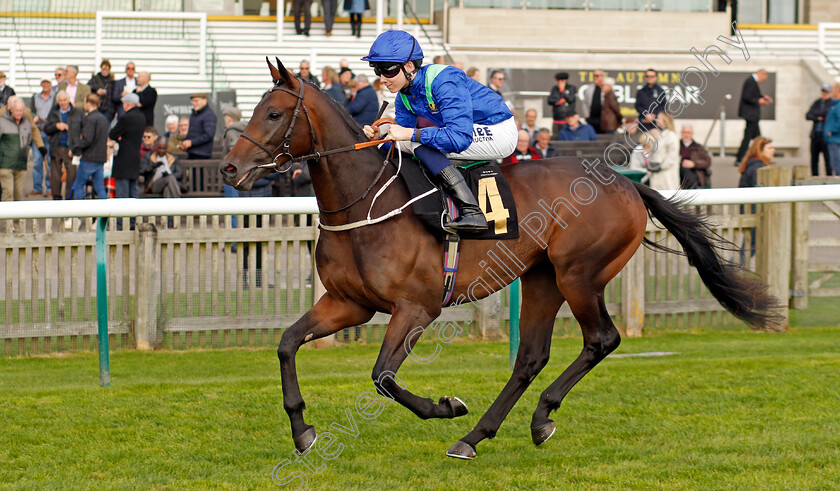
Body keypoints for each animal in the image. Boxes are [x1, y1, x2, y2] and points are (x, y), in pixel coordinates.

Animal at [218, 58, 780, 462]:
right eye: (253, 109)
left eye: (273, 114)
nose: (229, 168)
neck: (365, 202)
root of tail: (626, 184)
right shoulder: (347, 303)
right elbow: (287, 345)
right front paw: (303, 432)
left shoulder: (417, 307)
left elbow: (383, 377)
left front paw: (445, 406)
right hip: (541, 278)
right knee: (530, 356)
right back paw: (476, 436)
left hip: (579, 275)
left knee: (601, 339)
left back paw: (536, 418)